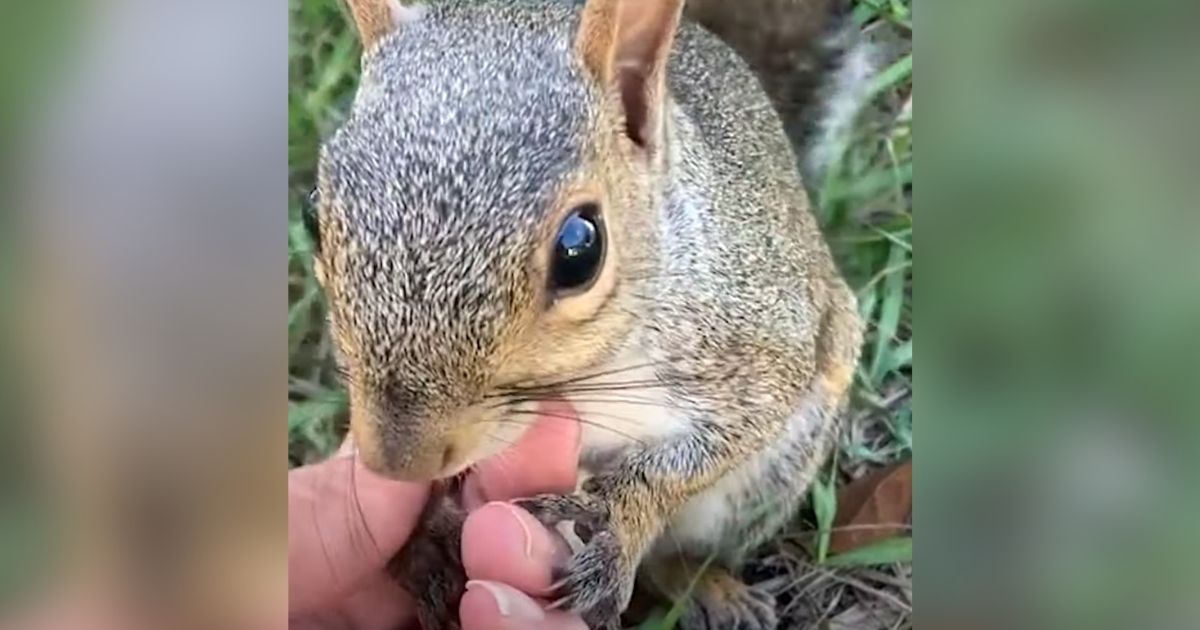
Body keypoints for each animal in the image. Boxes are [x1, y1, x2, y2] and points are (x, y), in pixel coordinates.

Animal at [304, 1, 868, 628]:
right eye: (312, 217)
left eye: (580, 250)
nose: (399, 461)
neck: (590, 374)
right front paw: (423, 538)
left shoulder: (757, 337)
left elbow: (725, 435)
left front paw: (614, 520)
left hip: (769, 479)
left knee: (674, 557)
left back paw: (712, 588)